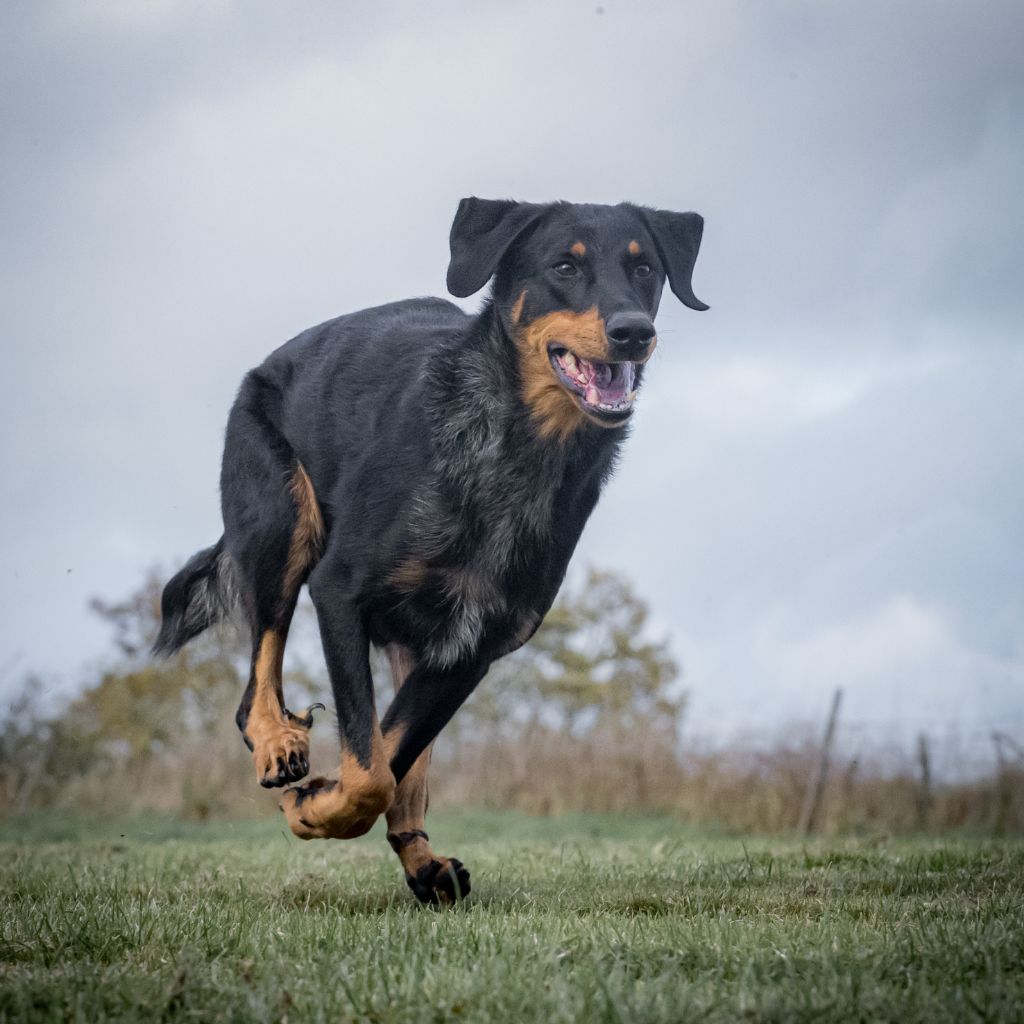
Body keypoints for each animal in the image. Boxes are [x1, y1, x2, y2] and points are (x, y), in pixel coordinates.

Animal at [153, 199, 704, 905]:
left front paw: (326, 806)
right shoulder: (339, 591)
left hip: (413, 642)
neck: (514, 445)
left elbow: (389, 760)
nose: (634, 331)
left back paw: (421, 862)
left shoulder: (471, 648)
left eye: (645, 270)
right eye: (563, 266)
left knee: (404, 766)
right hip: (281, 523)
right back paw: (278, 743)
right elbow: (370, 770)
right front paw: (314, 809)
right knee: (258, 677)